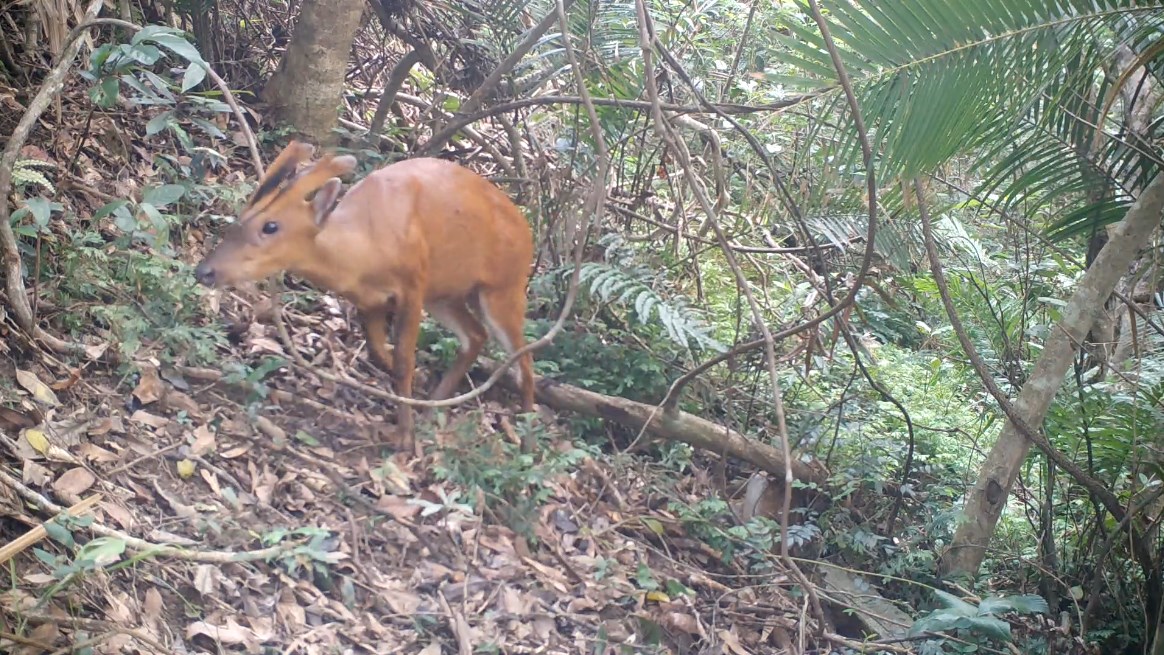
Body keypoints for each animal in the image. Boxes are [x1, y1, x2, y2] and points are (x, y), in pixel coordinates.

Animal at [193, 141, 537, 452]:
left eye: (271, 226)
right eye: (242, 216)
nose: (204, 271)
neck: (365, 249)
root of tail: (527, 230)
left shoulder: (414, 284)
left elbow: (404, 360)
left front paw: (405, 437)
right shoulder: (368, 300)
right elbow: (376, 350)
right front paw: (410, 393)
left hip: (504, 287)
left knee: (523, 355)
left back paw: (527, 429)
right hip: (445, 295)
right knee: (475, 335)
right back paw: (433, 408)